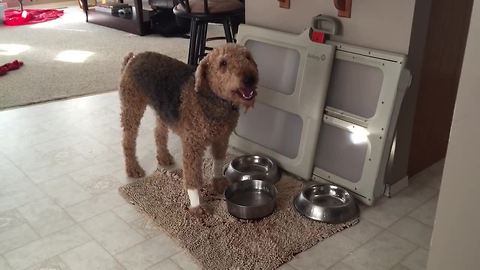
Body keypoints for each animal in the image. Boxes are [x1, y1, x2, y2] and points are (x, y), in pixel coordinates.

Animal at [119, 44, 258, 217]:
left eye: (248, 57)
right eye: (223, 63)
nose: (250, 79)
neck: (214, 99)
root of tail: (133, 58)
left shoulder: (221, 138)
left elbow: (218, 162)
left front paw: (219, 183)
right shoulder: (193, 145)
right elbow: (192, 177)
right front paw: (197, 206)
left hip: (163, 112)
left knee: (158, 133)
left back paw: (164, 157)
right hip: (132, 107)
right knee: (128, 141)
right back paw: (133, 168)